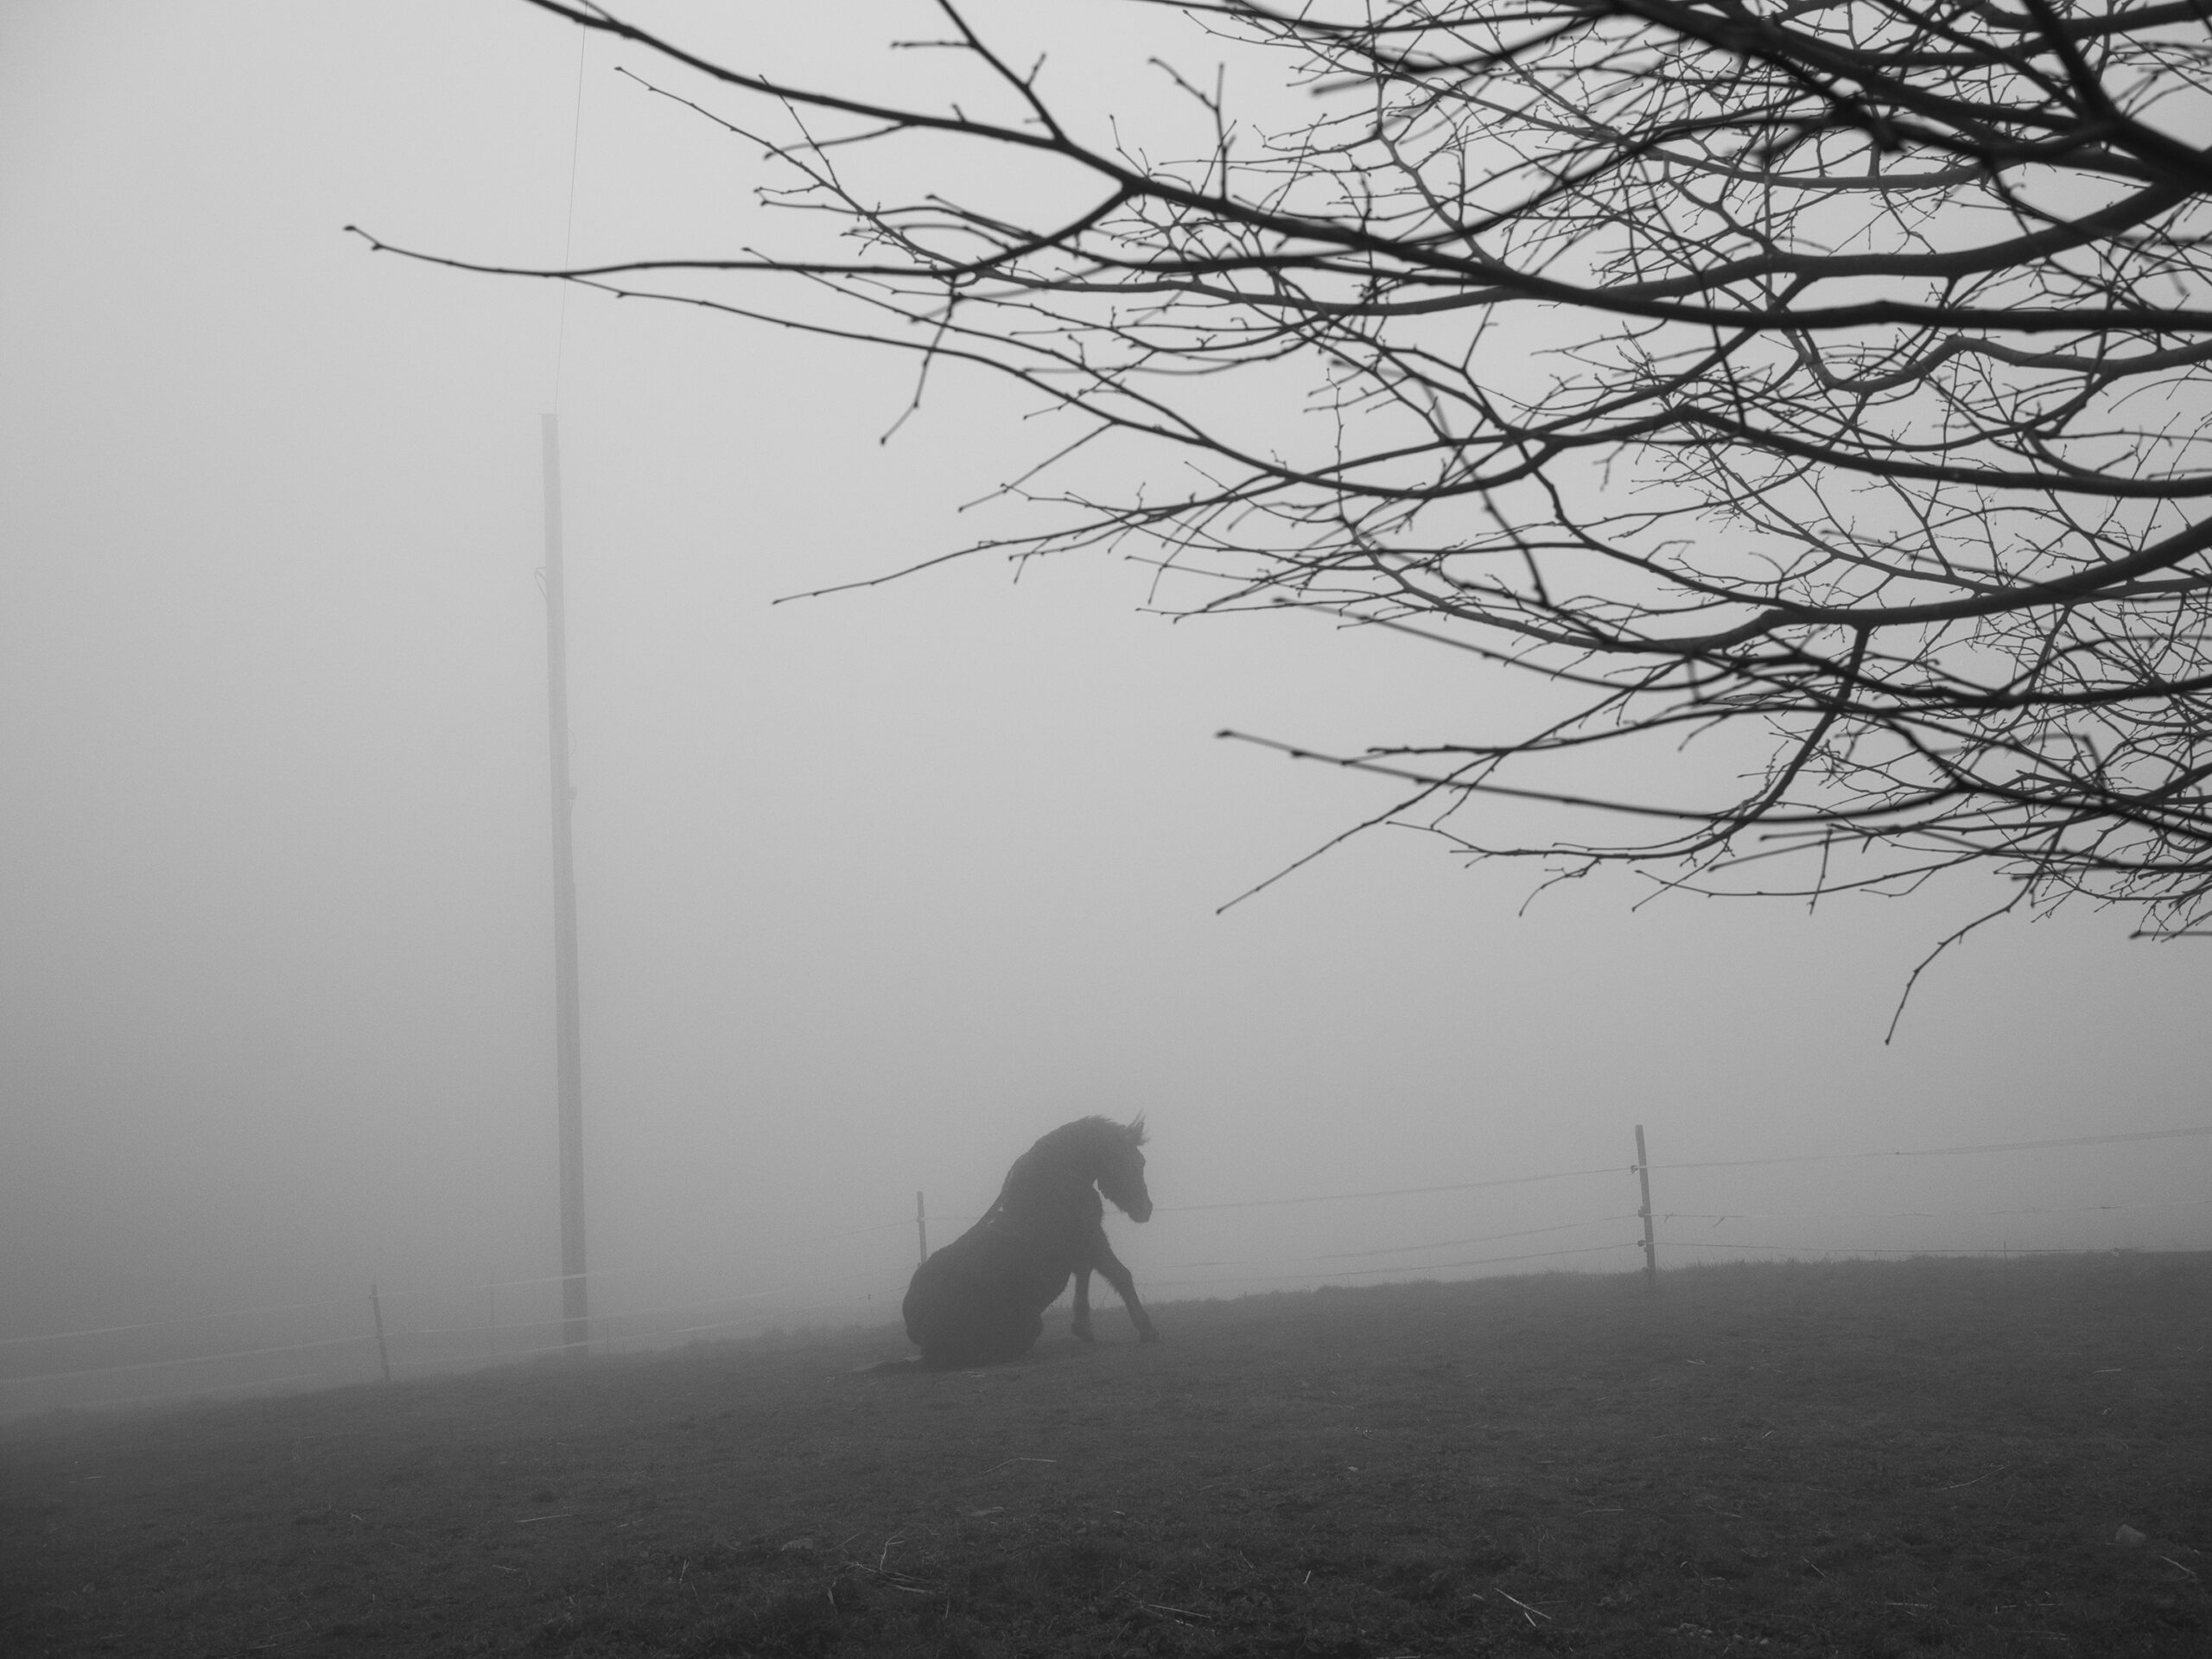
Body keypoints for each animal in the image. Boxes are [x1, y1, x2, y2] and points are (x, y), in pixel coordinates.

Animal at [906, 1123, 1167, 1371]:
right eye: (1137, 1162)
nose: (1146, 1209)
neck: (1056, 1179)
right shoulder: (1092, 1238)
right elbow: (1119, 1275)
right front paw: (1147, 1330)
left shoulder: (1084, 1244)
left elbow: (1085, 1274)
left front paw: (1082, 1326)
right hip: (1030, 1326)